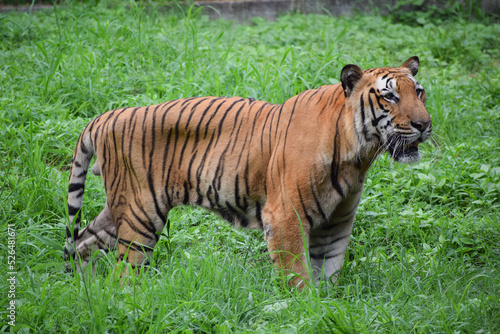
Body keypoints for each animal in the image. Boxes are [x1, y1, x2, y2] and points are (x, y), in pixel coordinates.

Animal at [64, 56, 432, 288]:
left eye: (419, 92)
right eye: (389, 96)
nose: (424, 125)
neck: (358, 154)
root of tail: (106, 116)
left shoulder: (336, 221)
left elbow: (328, 269)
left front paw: (326, 307)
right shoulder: (285, 216)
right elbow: (298, 274)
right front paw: (304, 310)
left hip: (121, 209)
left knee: (82, 242)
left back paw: (81, 291)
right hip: (141, 212)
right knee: (124, 271)